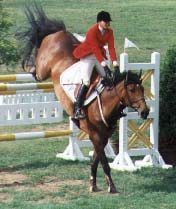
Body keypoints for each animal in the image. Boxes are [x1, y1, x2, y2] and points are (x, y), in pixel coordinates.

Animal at [17, 4, 149, 193]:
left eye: (142, 89)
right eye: (131, 89)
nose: (145, 112)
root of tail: (59, 32)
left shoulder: (104, 136)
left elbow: (95, 160)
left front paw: (93, 183)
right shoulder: (95, 135)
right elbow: (104, 163)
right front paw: (111, 186)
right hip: (44, 69)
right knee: (38, 65)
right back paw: (30, 67)